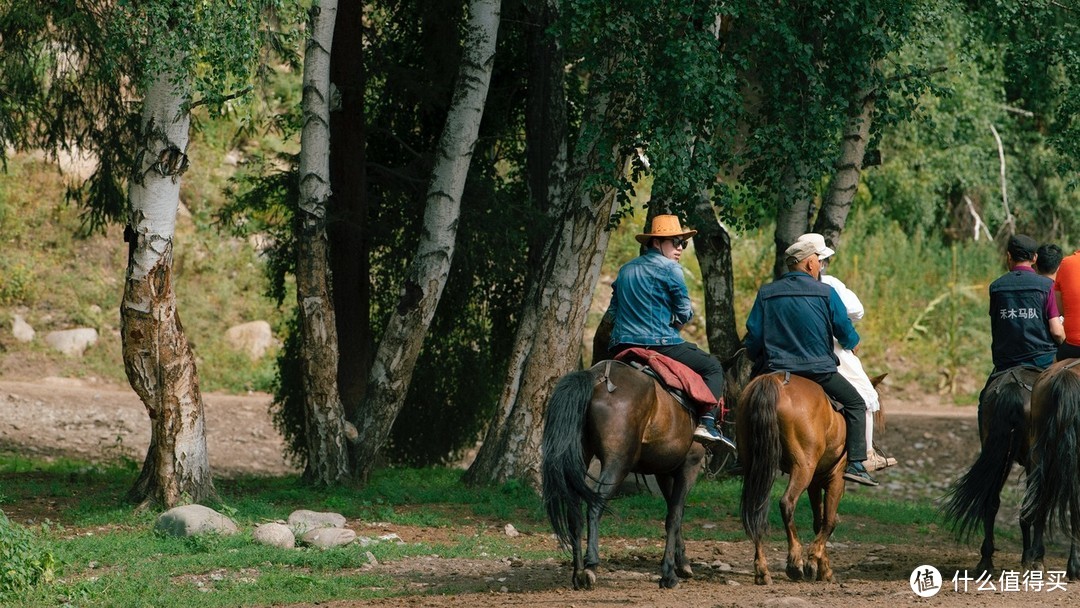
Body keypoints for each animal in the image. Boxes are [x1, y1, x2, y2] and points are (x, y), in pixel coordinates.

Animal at [540, 356, 708, 591]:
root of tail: (598, 376)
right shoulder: (689, 466)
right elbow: (675, 516)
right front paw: (668, 574)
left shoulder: (664, 472)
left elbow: (674, 514)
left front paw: (681, 563)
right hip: (618, 462)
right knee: (595, 504)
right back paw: (591, 567)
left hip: (581, 456)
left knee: (574, 511)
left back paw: (578, 573)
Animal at [738, 371, 881, 583]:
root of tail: (774, 381)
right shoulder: (836, 478)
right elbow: (829, 521)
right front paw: (813, 560)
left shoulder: (815, 481)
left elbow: (818, 522)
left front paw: (822, 568)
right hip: (803, 467)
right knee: (787, 503)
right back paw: (795, 562)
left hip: (757, 467)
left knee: (756, 509)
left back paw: (762, 570)